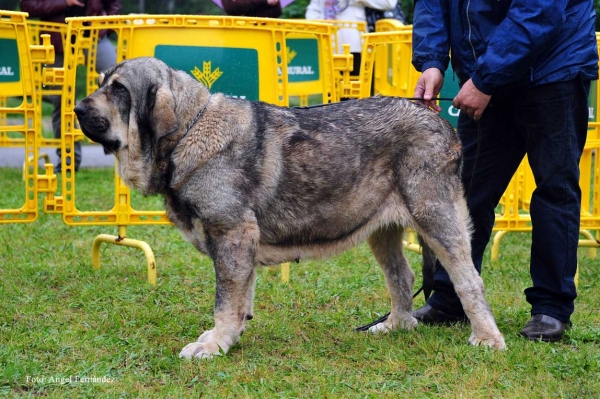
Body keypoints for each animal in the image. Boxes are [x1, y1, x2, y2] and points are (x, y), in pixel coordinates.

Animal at [74, 56, 506, 360]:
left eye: (118, 90)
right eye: (101, 83)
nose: (77, 109)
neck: (188, 130)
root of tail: (436, 119)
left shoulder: (231, 234)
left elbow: (225, 300)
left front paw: (214, 344)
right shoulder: (239, 242)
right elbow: (241, 297)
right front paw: (230, 336)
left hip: (436, 216)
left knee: (469, 280)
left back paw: (487, 338)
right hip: (382, 230)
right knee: (401, 276)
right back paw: (397, 324)